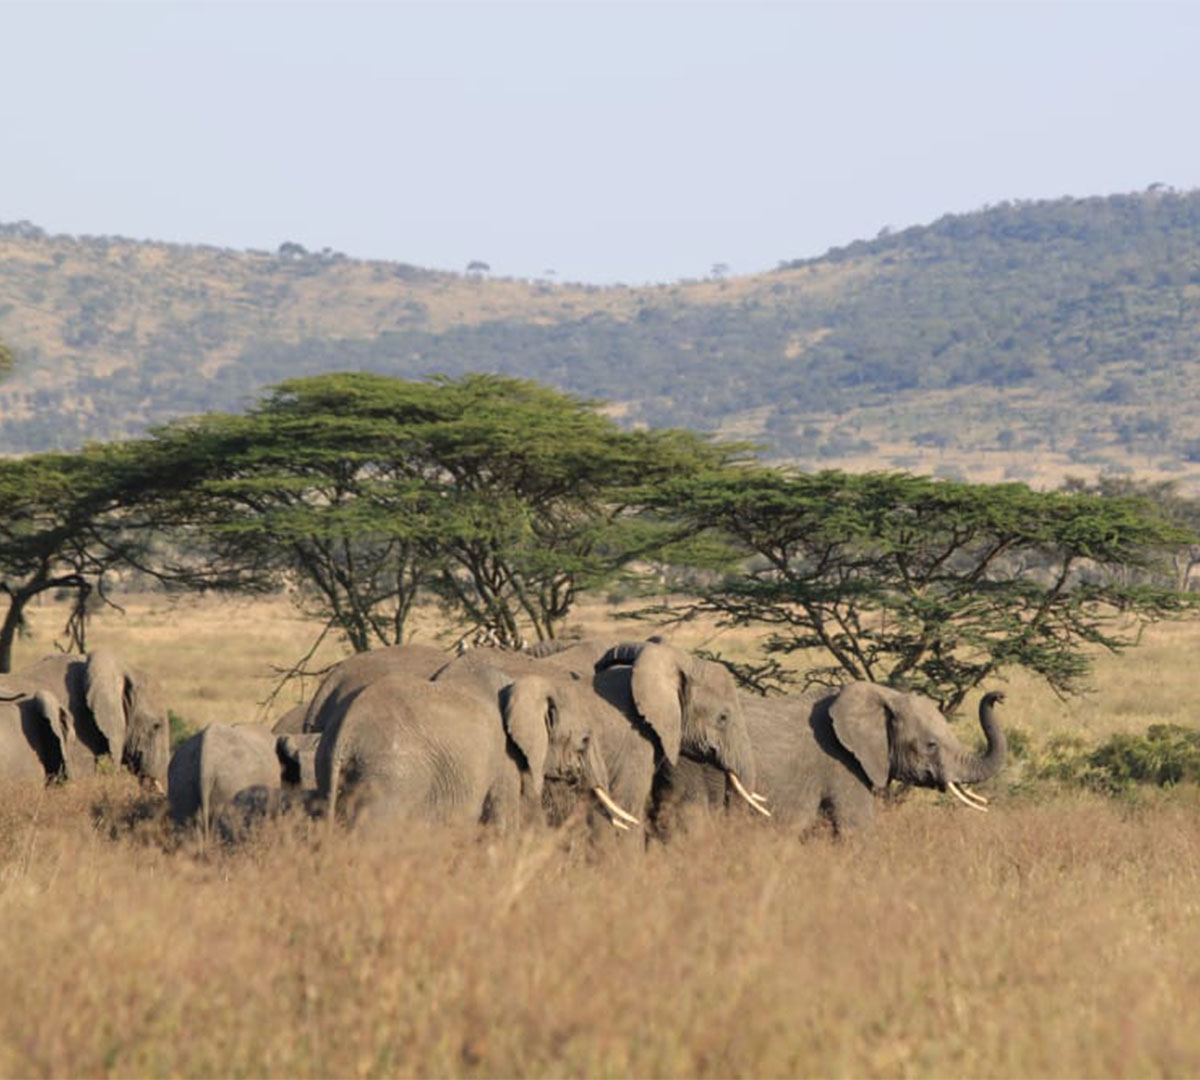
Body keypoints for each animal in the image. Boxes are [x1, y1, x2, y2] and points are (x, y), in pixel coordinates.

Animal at [657, 681, 1003, 835]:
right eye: (930, 745)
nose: (998, 696)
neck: (883, 694)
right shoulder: (842, 765)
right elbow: (856, 831)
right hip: (691, 764)